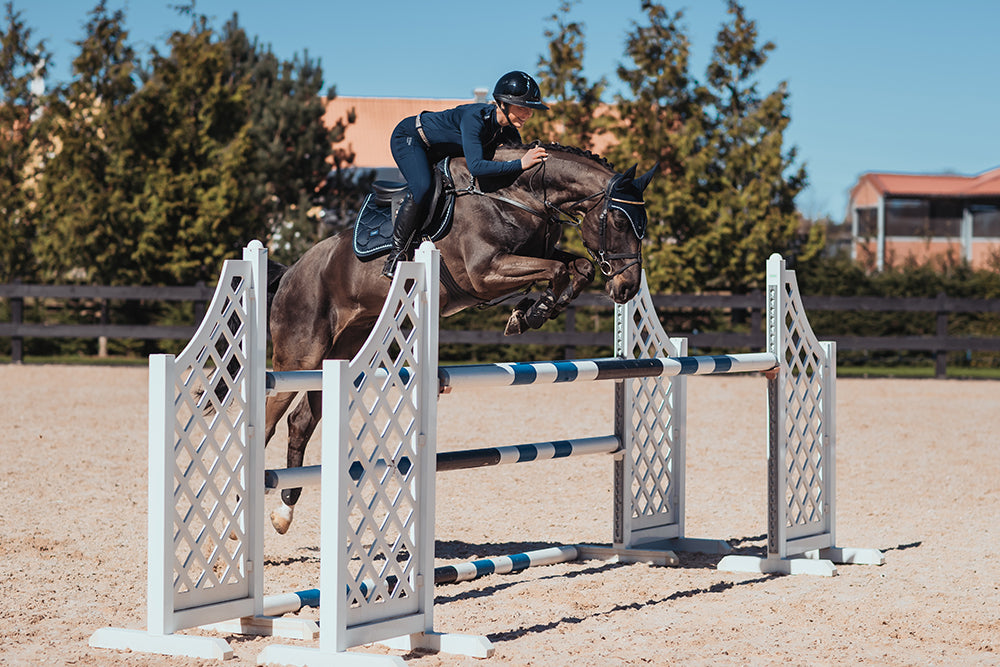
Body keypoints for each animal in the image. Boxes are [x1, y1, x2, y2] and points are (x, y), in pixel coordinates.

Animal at [264, 142, 657, 533]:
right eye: (619, 221)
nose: (626, 288)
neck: (516, 194)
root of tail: (293, 270)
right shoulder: (486, 272)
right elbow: (558, 269)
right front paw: (533, 311)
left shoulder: (532, 255)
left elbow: (579, 267)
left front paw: (534, 310)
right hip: (301, 357)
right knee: (270, 417)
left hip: (343, 353)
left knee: (300, 421)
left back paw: (284, 511)